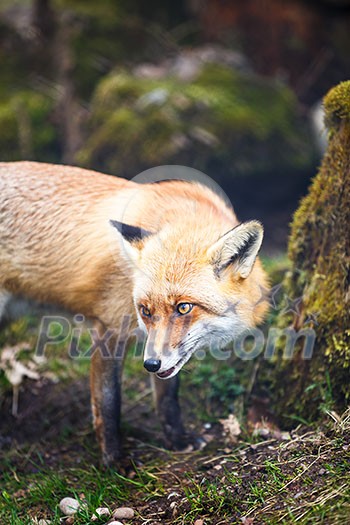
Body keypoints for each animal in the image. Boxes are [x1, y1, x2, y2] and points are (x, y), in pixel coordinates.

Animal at [0, 161, 270, 462]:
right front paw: (114, 461)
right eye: (145, 310)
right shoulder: (109, 327)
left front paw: (177, 439)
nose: (150, 365)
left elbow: (167, 396)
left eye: (183, 307)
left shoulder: (162, 355)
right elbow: (108, 403)